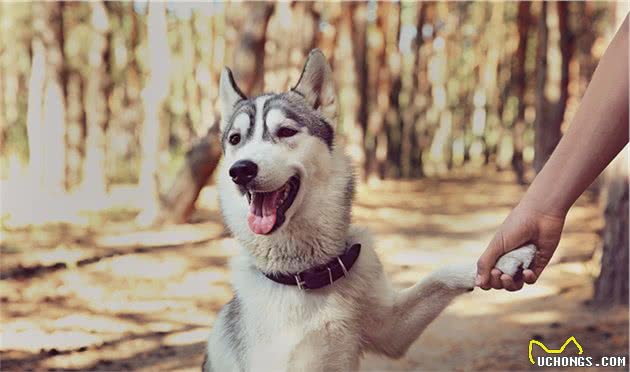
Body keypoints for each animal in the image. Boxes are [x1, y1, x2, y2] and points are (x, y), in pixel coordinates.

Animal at [204, 50, 540, 372]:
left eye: (285, 132)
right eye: (235, 139)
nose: (241, 170)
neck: (308, 275)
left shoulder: (392, 329)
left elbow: (440, 275)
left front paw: (507, 257)